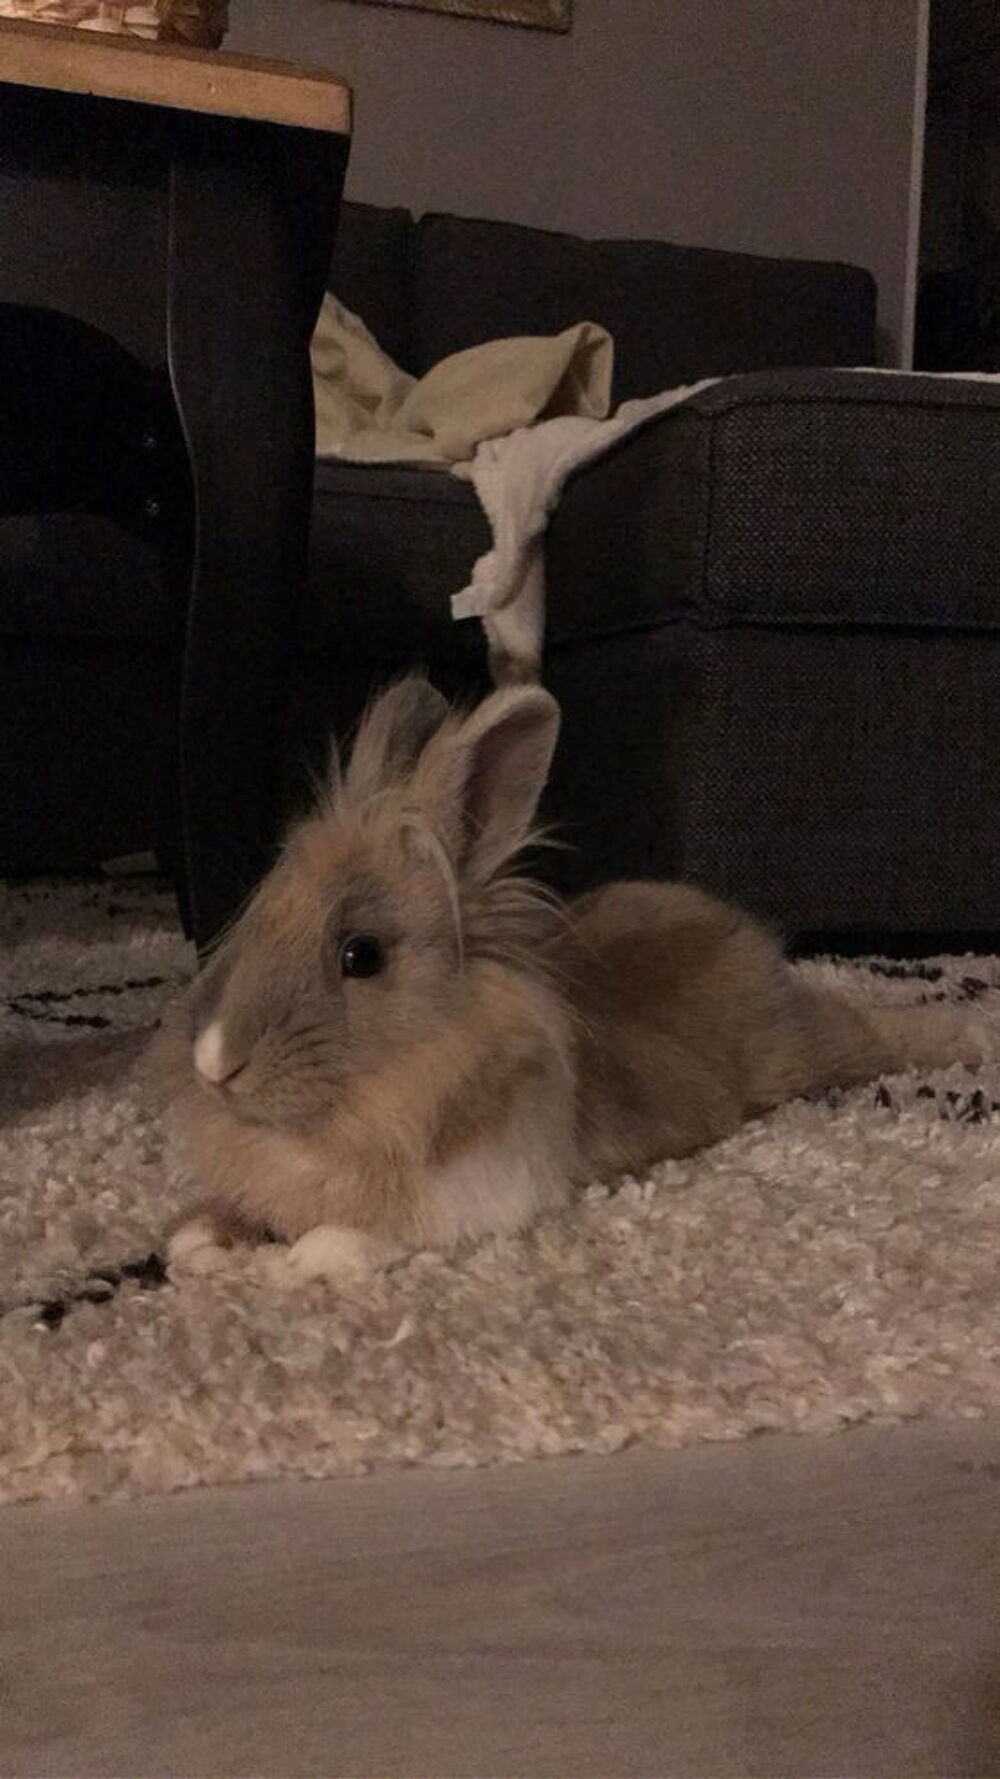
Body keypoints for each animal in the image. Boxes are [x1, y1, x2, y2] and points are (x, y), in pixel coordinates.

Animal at [152, 674, 989, 1287]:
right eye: (262, 907)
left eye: (361, 955)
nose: (214, 1061)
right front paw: (196, 1240)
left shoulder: (479, 1196)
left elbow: (370, 1234)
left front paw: (301, 1259)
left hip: (805, 1054)